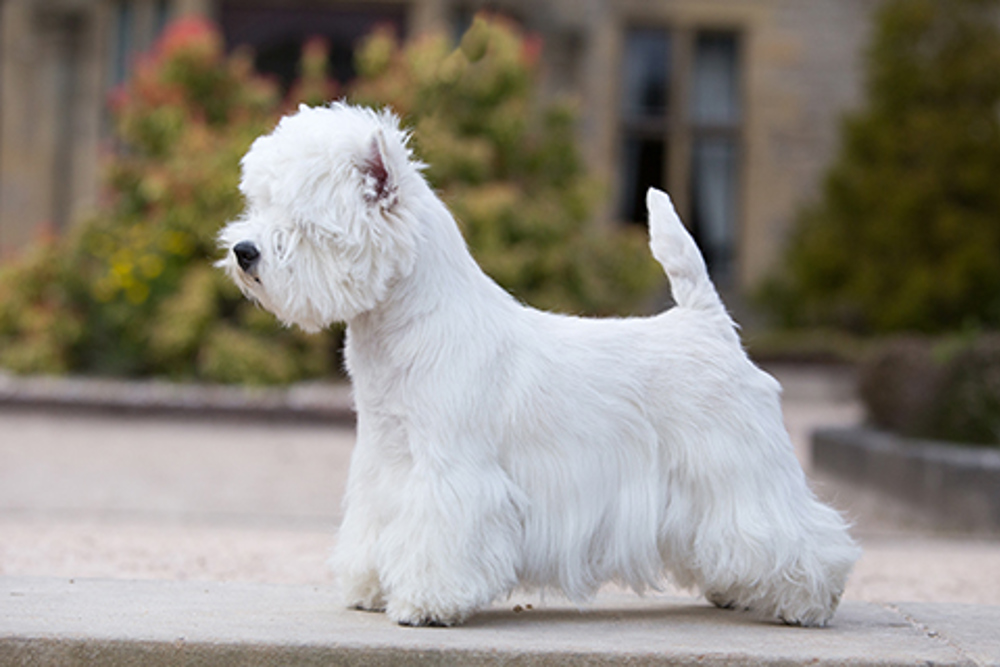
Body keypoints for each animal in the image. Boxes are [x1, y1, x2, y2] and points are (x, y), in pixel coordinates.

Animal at [219, 102, 860, 628]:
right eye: (259, 204)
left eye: (306, 224)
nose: (243, 252)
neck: (404, 329)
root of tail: (709, 322)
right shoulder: (385, 458)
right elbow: (376, 526)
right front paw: (371, 587)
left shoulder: (454, 469)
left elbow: (440, 535)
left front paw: (425, 603)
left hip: (738, 464)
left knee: (798, 532)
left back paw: (807, 604)